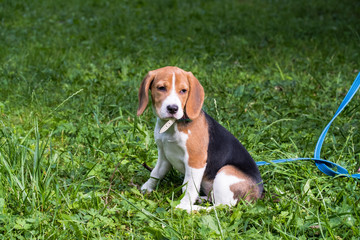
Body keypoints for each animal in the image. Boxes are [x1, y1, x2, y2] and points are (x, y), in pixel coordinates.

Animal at [136, 66, 262, 212]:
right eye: (161, 88)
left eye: (183, 90)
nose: (173, 108)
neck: (173, 125)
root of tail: (258, 193)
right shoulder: (164, 156)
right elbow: (156, 173)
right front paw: (147, 188)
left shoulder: (195, 161)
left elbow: (188, 188)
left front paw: (184, 205)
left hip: (226, 172)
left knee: (221, 207)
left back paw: (194, 208)